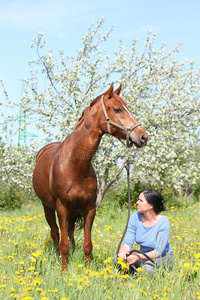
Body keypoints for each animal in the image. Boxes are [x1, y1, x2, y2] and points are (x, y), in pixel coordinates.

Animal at [32, 82, 148, 272]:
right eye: (117, 109)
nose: (143, 136)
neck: (75, 165)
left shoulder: (89, 208)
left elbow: (87, 243)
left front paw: (87, 269)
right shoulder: (62, 208)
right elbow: (63, 241)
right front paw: (64, 270)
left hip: (74, 211)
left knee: (70, 231)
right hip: (48, 207)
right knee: (55, 232)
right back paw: (56, 256)